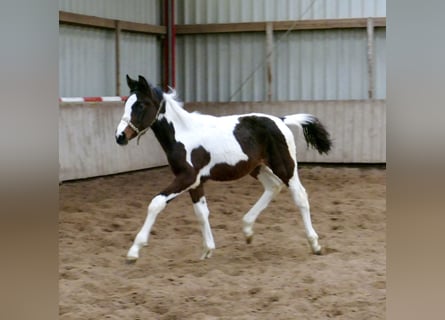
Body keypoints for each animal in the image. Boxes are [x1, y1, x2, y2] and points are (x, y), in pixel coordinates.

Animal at [114, 75, 330, 262]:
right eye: (126, 104)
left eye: (140, 105)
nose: (120, 136)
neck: (183, 134)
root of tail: (280, 119)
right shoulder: (195, 182)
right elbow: (201, 213)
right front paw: (207, 250)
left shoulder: (186, 178)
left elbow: (156, 203)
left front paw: (134, 251)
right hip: (257, 168)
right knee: (273, 187)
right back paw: (247, 230)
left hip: (285, 167)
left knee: (300, 195)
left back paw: (315, 244)